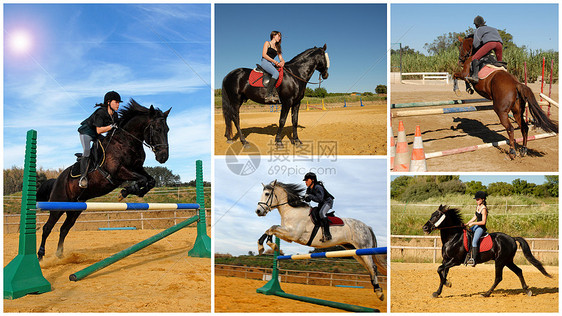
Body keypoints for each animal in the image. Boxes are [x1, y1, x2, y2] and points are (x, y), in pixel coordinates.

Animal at [36, 100, 170, 260]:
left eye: (167, 130)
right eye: (156, 129)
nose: (163, 157)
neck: (127, 142)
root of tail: (57, 180)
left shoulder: (137, 168)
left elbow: (150, 181)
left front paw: (132, 192)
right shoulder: (119, 172)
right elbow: (143, 180)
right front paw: (126, 192)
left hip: (75, 209)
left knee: (64, 229)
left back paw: (60, 255)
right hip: (58, 205)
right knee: (47, 228)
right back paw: (40, 256)